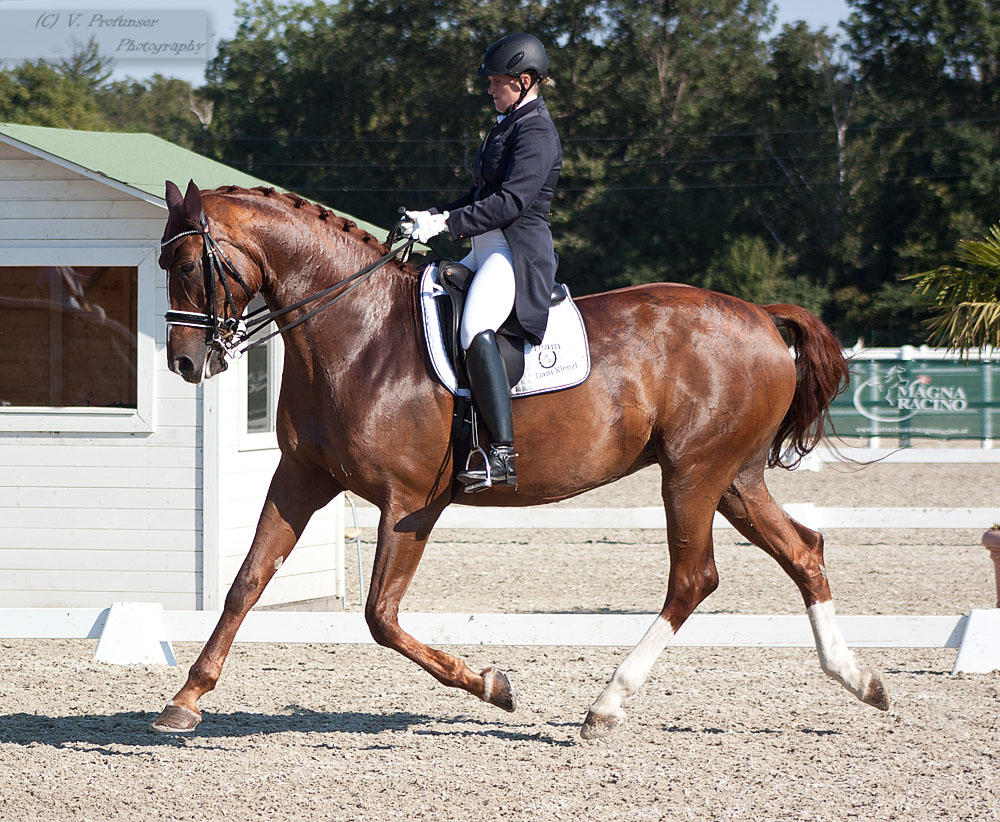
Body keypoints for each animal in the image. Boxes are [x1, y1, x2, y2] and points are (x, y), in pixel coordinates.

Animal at [152, 183, 888, 744]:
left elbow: (381, 617)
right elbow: (246, 582)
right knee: (804, 550)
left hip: (693, 474)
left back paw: (604, 707)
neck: (356, 333)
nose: (185, 363)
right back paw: (862, 681)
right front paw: (185, 699)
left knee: (693, 579)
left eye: (186, 266)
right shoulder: (301, 478)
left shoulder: (410, 503)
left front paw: (493, 686)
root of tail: (761, 315)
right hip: (733, 479)